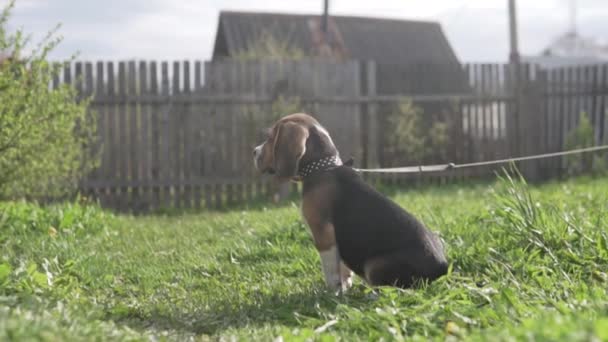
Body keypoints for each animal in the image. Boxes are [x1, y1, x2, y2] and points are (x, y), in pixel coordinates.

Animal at [252, 113, 446, 290]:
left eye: (270, 138)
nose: (254, 151)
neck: (322, 168)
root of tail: (442, 268)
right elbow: (343, 269)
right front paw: (345, 287)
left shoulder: (324, 235)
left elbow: (330, 270)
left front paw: (331, 293)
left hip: (374, 265)